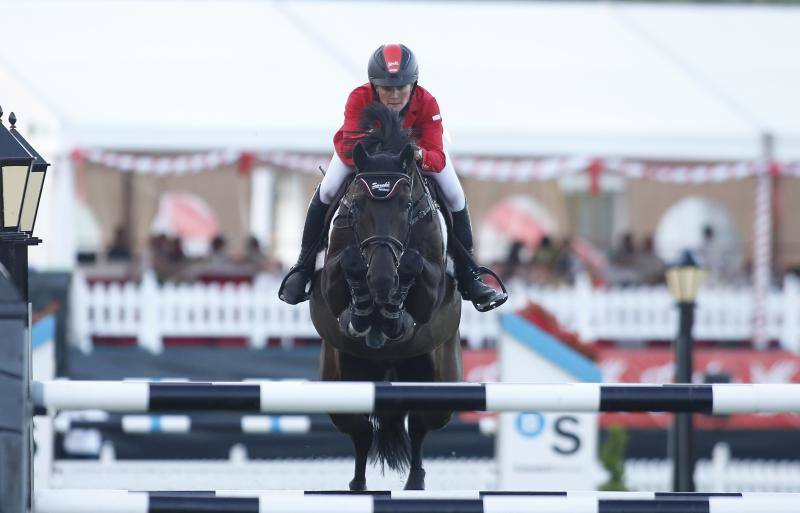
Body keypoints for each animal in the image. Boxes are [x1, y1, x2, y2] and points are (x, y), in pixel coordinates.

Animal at [310, 103, 462, 488]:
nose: (381, 279)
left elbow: (412, 264)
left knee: (421, 423)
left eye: (407, 205)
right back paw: (358, 487)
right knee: (361, 431)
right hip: (341, 379)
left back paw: (415, 482)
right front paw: (365, 312)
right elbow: (349, 262)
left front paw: (390, 311)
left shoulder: (431, 294)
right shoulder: (330, 284)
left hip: (439, 381)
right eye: (358, 203)